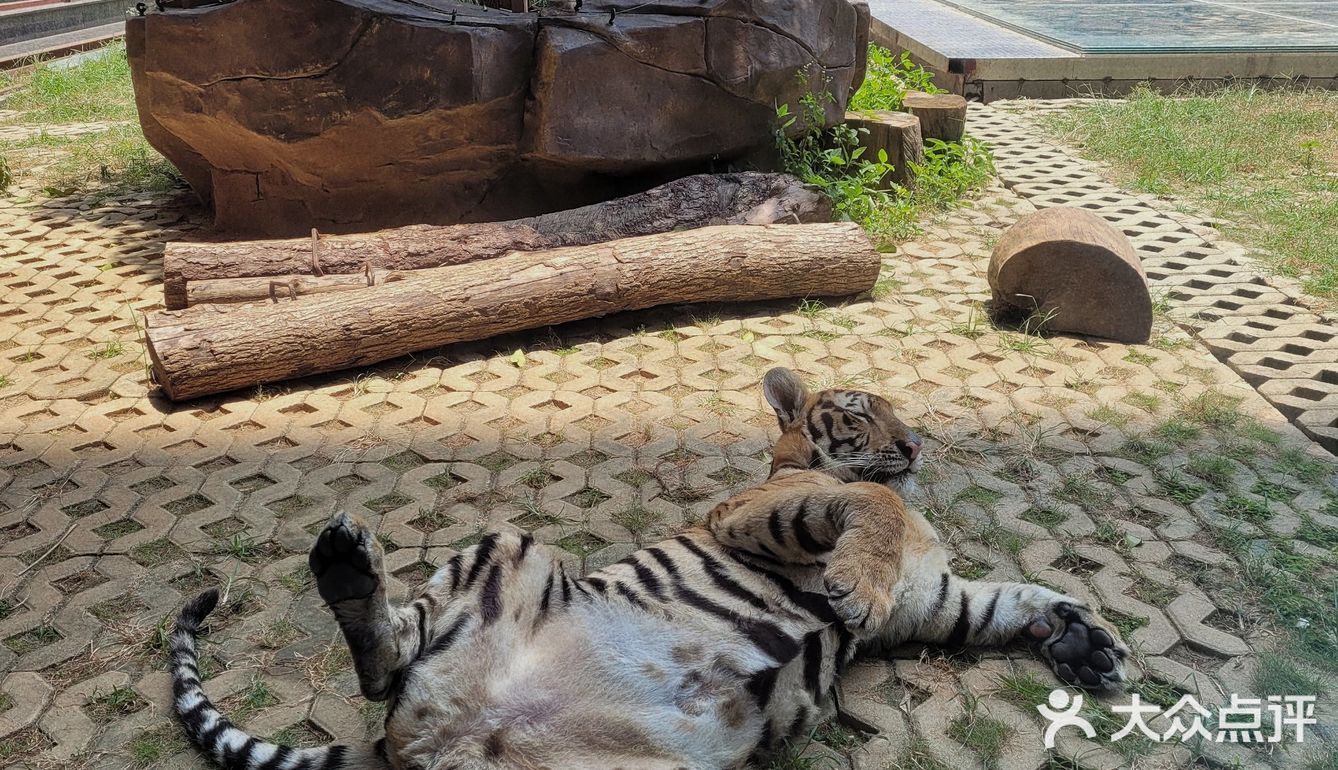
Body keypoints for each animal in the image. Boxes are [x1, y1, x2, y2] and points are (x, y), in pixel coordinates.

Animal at [169, 366, 1129, 770]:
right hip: (503, 548)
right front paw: (856, 579)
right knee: (382, 657)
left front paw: (1088, 642)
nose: (919, 443)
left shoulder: (932, 602)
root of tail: (429, 743)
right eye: (860, 412)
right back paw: (345, 569)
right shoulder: (761, 515)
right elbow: (872, 503)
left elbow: (1009, 597)